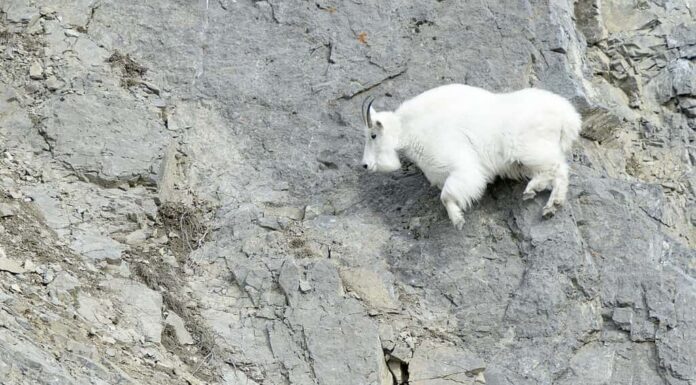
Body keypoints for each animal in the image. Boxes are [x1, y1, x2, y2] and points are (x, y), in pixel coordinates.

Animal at [358, 84, 580, 228]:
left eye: (373, 135)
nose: (365, 165)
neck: (411, 129)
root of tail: (568, 117)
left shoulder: (462, 167)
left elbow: (446, 196)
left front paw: (458, 220)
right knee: (555, 173)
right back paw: (545, 201)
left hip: (531, 150)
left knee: (558, 168)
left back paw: (541, 195)